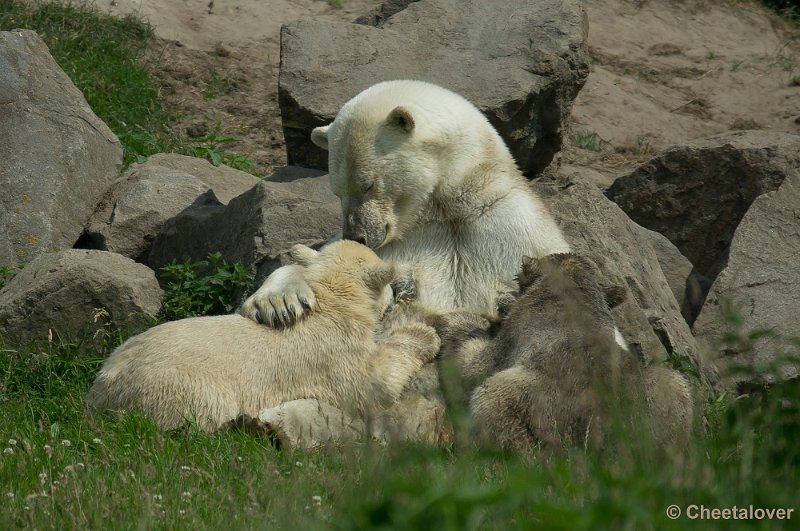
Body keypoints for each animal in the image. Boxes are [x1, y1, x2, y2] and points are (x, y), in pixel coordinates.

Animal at [241, 80, 572, 326]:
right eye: (337, 190)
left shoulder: (513, 227)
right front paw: (280, 301)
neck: (445, 211)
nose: (357, 235)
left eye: (368, 183)